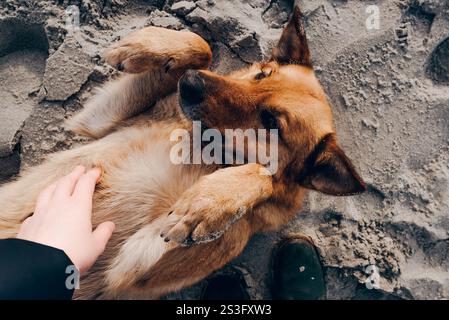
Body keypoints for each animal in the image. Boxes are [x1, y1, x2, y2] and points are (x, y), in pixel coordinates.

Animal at [0, 6, 364, 298]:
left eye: (272, 122)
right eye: (261, 74)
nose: (190, 84)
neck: (202, 149)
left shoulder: (131, 266)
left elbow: (263, 175)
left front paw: (206, 205)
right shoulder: (97, 119)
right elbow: (203, 47)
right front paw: (145, 45)